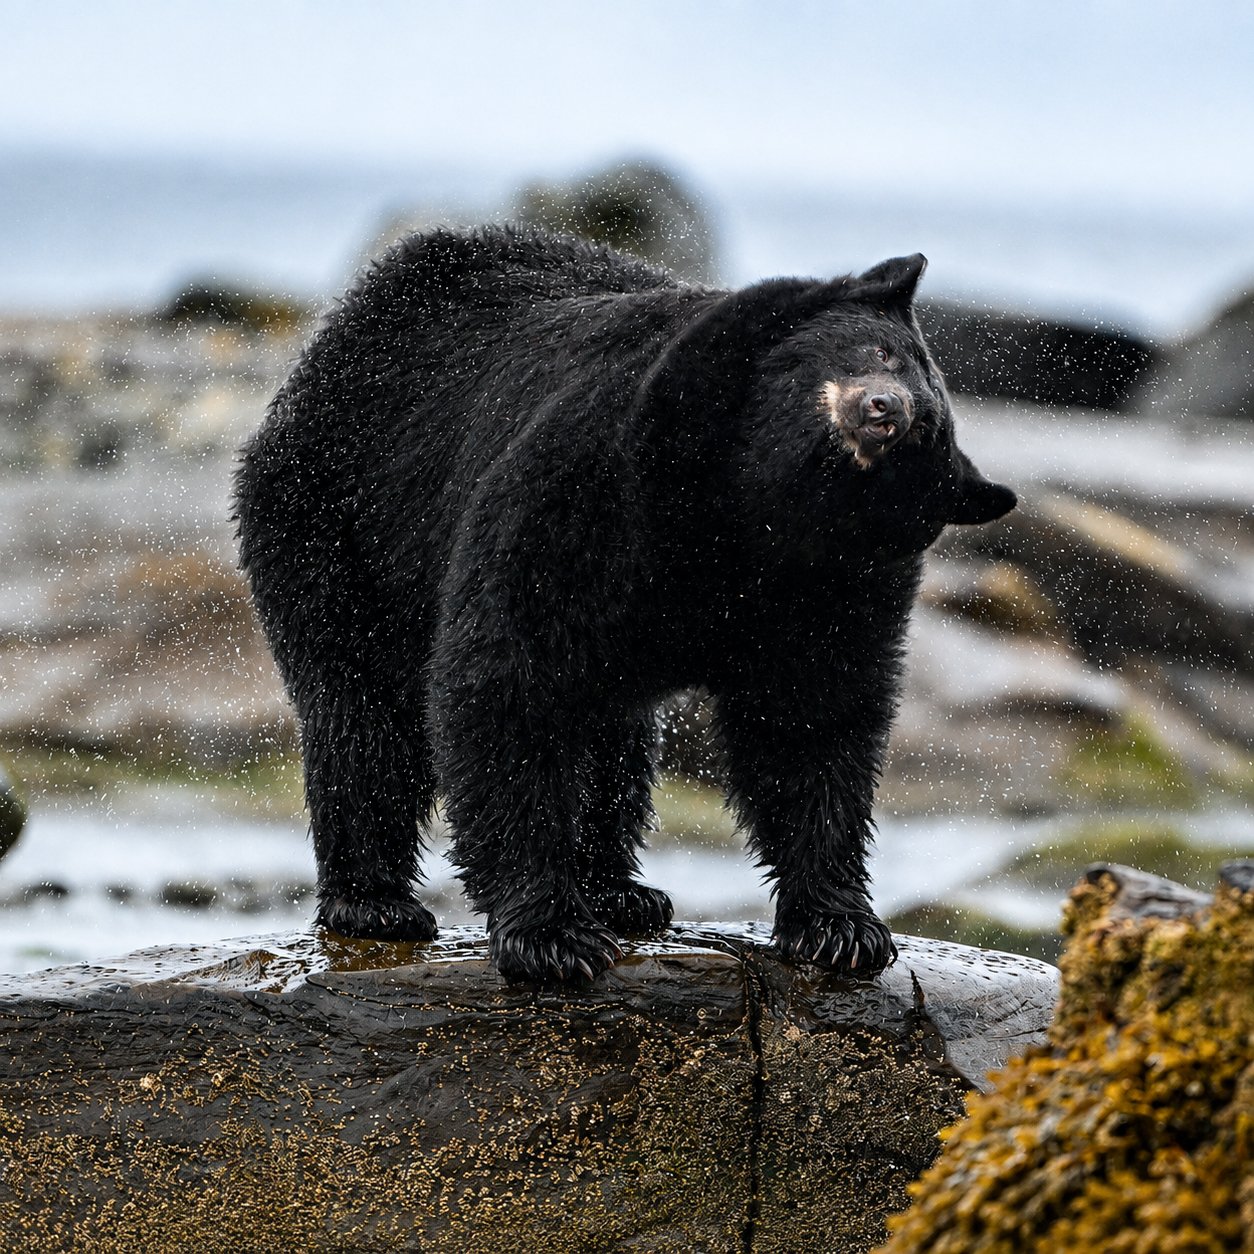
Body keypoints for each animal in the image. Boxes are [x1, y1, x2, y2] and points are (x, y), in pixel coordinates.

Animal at [235, 224, 1015, 984]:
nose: (887, 410)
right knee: (364, 715)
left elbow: (811, 720)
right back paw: (375, 903)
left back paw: (620, 890)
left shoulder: (833, 591)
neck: (738, 518)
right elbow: (506, 680)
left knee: (613, 745)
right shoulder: (588, 486)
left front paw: (841, 926)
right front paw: (551, 936)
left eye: (926, 438)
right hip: (341, 519)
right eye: (882, 350)